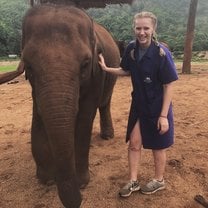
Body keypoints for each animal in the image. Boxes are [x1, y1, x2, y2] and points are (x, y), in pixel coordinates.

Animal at [21, 3, 120, 208]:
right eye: (28, 65)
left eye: (85, 63)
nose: (79, 200)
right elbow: (39, 113)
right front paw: (46, 179)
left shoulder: (97, 74)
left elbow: (84, 118)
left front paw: (81, 182)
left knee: (105, 103)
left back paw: (107, 136)